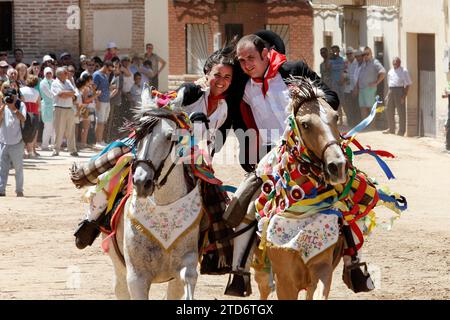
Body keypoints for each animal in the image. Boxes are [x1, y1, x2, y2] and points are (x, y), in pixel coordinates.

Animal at [253, 77, 348, 300]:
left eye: (335, 117)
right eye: (305, 124)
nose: (338, 165)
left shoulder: (321, 268)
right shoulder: (285, 280)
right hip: (262, 273)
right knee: (263, 289)